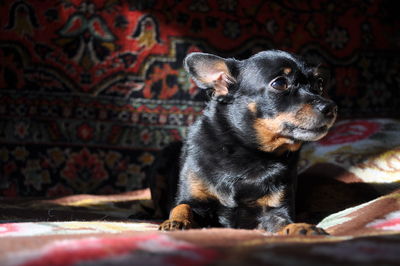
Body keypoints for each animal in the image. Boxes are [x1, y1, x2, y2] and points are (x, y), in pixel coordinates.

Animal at [156, 50, 338, 235]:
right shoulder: (194, 201)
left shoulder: (274, 211)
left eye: (319, 84)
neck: (248, 152)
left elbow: (285, 222)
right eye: (280, 83)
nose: (330, 107)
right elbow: (181, 207)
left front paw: (301, 228)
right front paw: (176, 221)